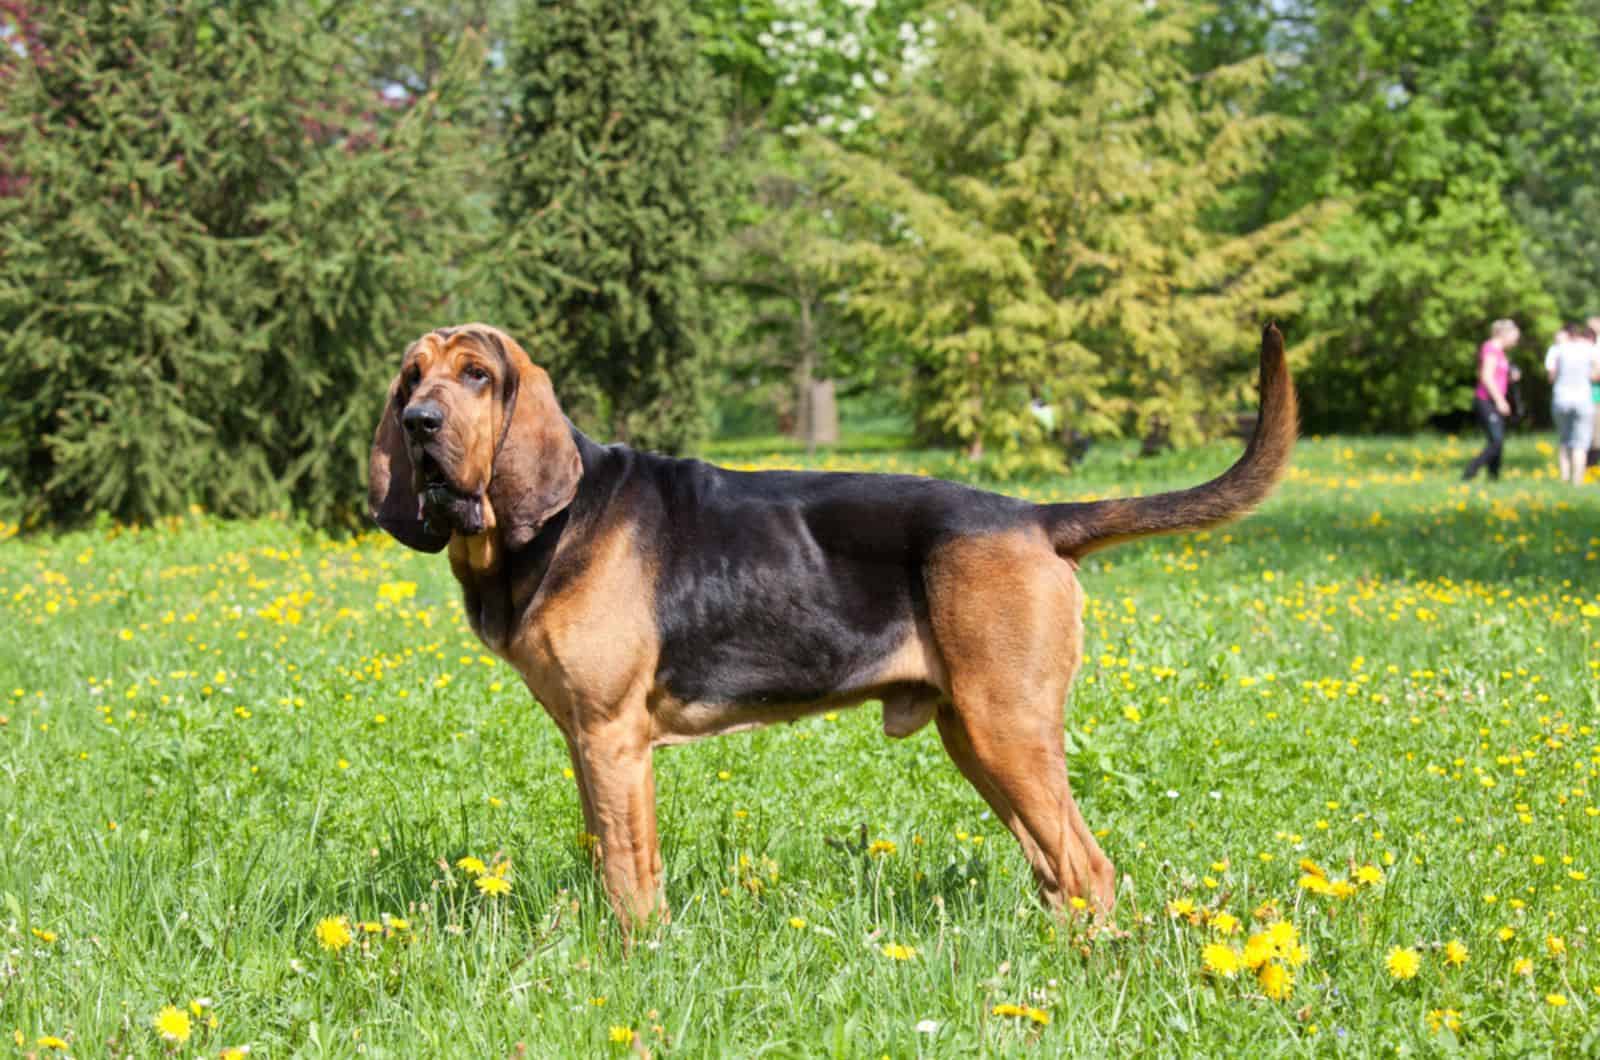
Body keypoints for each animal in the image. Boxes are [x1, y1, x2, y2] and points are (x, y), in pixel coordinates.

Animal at [368, 321, 1292, 928]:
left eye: (477, 376)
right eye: (411, 378)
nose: (419, 425)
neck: (544, 526)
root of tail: (1033, 516)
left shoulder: (612, 738)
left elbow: (631, 872)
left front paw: (634, 959)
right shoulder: (586, 743)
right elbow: (608, 854)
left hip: (1009, 730)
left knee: (1090, 870)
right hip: (977, 738)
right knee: (1056, 868)